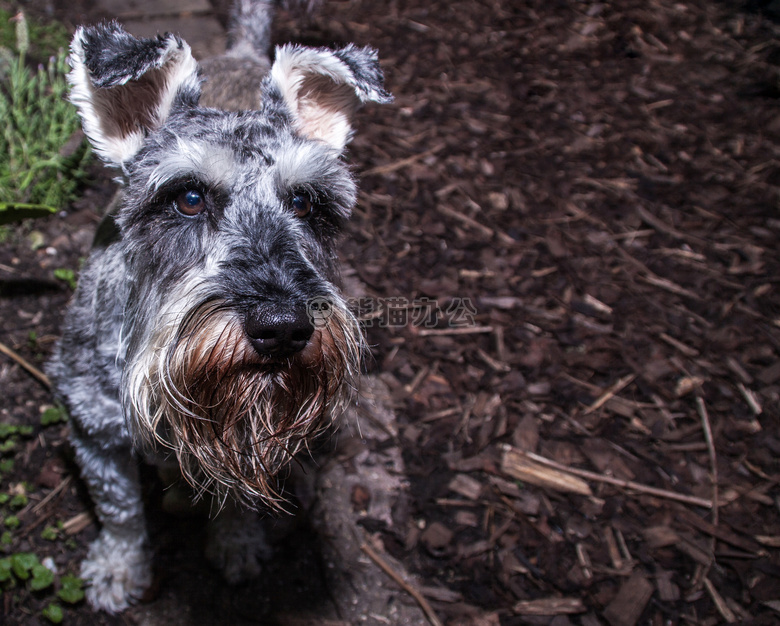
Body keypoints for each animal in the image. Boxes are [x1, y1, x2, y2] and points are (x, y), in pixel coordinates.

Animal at [46, 0, 394, 612]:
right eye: (188, 197)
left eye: (305, 202)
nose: (283, 328)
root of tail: (242, 51)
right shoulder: (94, 429)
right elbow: (119, 512)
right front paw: (118, 567)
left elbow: (236, 500)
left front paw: (237, 544)